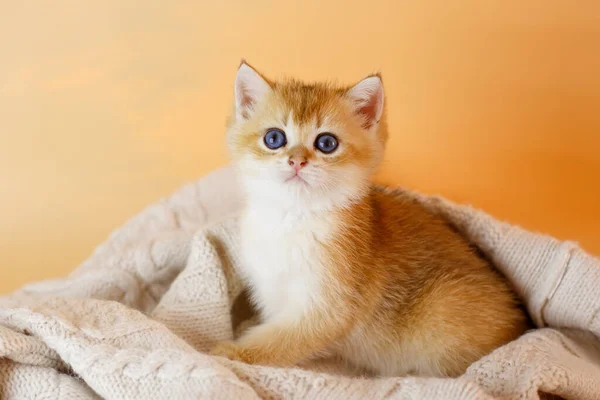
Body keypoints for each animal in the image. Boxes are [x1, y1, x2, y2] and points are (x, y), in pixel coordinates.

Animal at [211, 61, 528, 376]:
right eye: (274, 138)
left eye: (326, 143)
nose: (297, 161)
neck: (293, 217)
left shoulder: (327, 309)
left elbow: (277, 343)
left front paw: (229, 352)